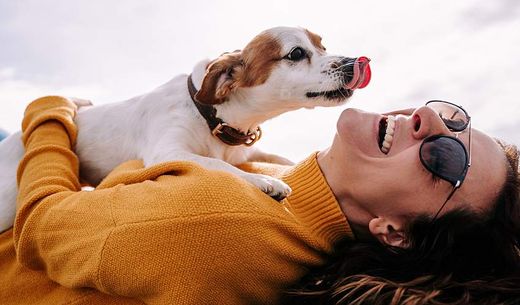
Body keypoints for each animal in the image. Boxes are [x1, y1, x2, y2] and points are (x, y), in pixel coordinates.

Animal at [0, 26, 370, 230]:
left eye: (322, 46)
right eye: (295, 53)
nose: (355, 62)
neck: (213, 117)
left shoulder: (247, 151)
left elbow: (278, 158)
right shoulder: (168, 151)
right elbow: (217, 165)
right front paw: (266, 182)